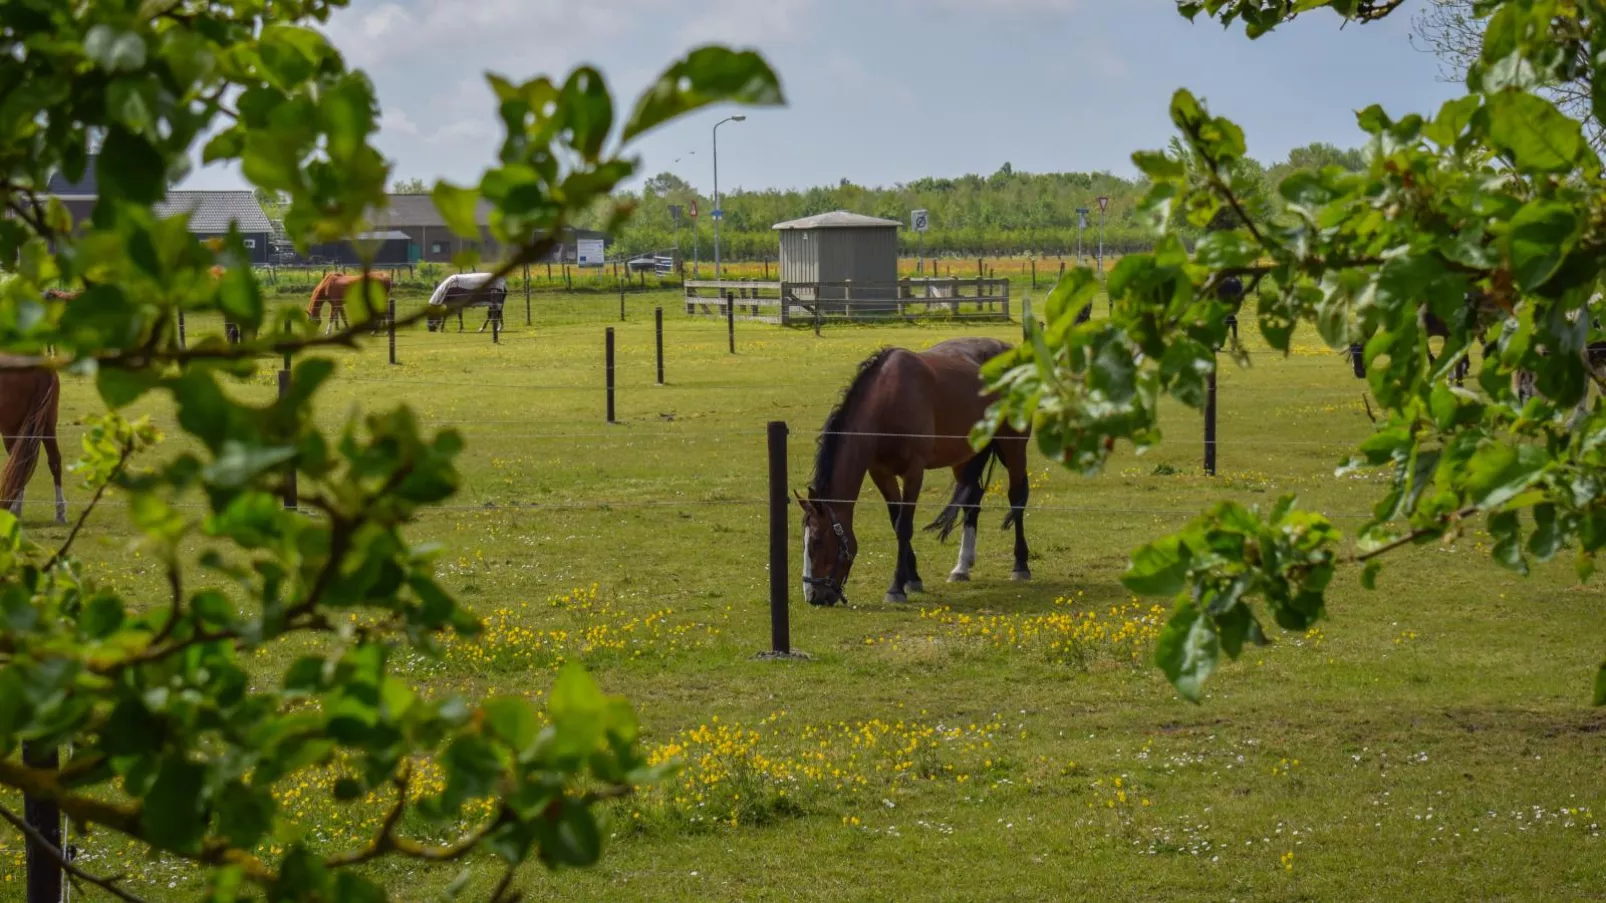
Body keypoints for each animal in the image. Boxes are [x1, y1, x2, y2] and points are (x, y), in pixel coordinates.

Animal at [796, 337, 1034, 604]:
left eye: (817, 541)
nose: (813, 595)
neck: (887, 402)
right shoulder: (880, 473)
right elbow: (895, 520)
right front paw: (912, 578)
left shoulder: (914, 472)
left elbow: (903, 526)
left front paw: (896, 588)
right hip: (966, 455)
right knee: (972, 503)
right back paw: (961, 567)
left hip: (1013, 447)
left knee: (1016, 497)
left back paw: (1020, 565)